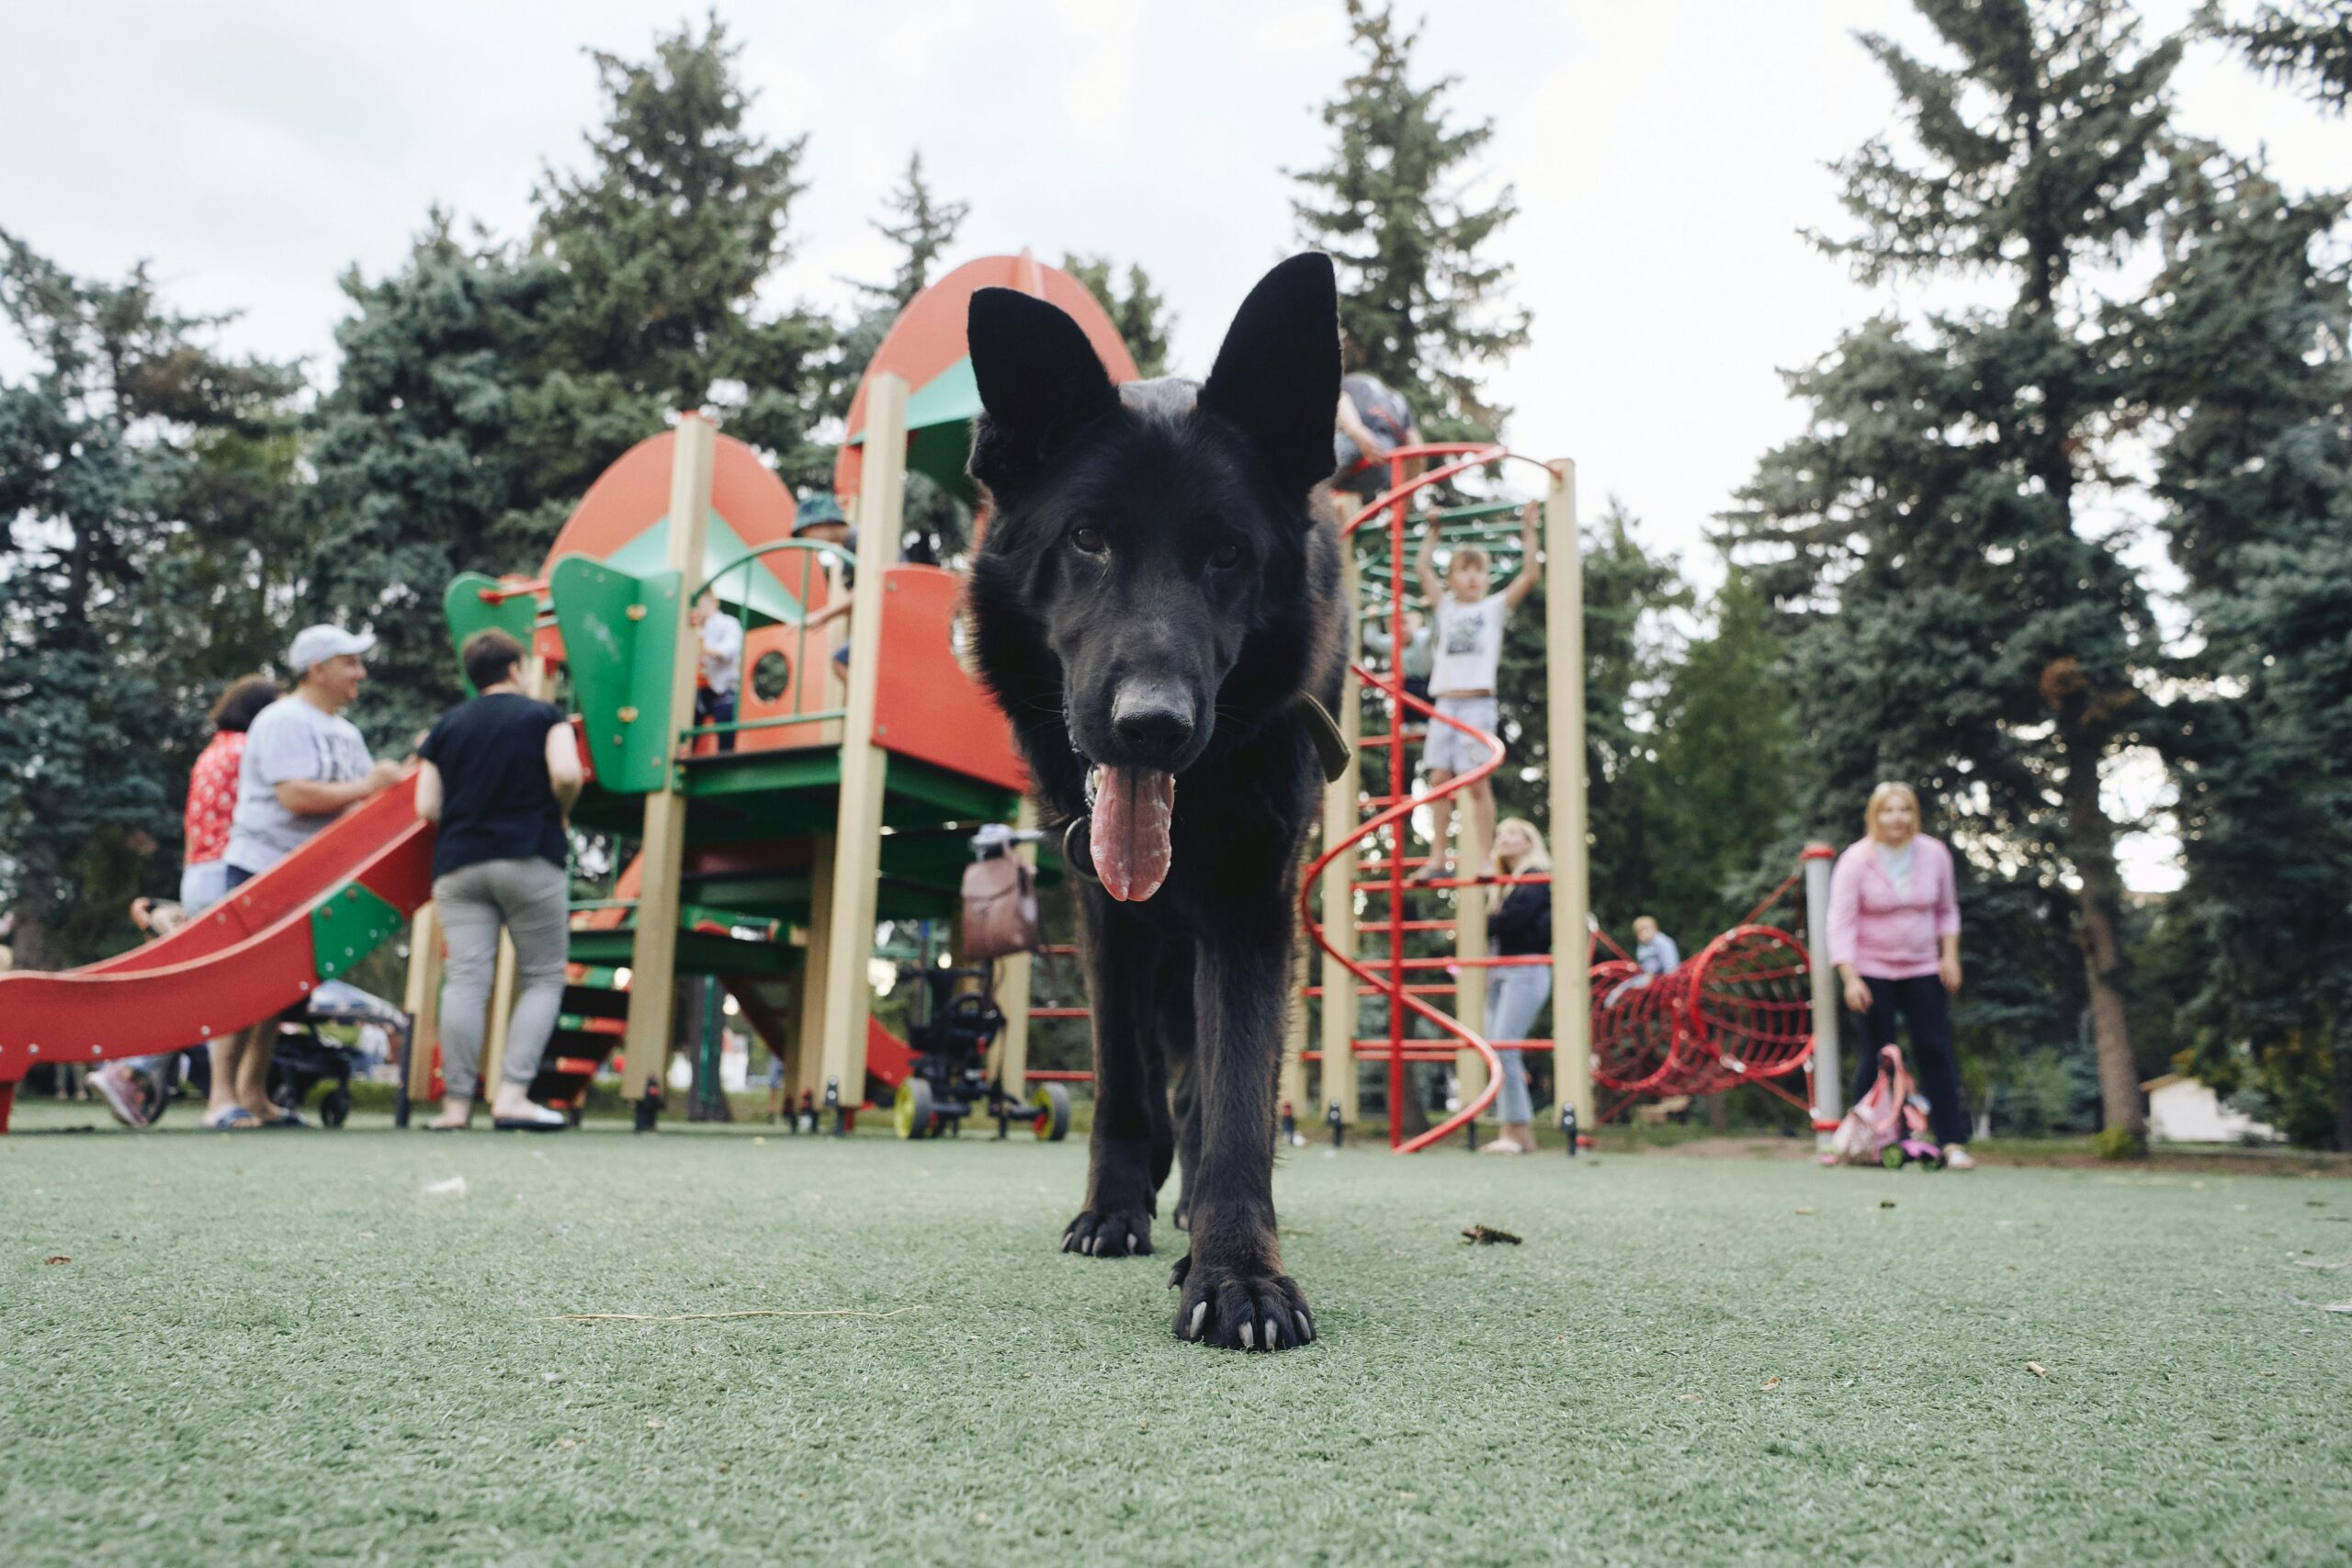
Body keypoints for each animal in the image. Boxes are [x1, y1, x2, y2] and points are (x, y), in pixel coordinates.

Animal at [964, 247, 1345, 1354]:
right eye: (1088, 537)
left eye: (1227, 553)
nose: (1153, 725)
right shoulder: (1105, 907)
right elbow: (1123, 1077)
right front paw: (1114, 1209)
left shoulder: (1253, 903)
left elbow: (1237, 1091)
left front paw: (1237, 1267)